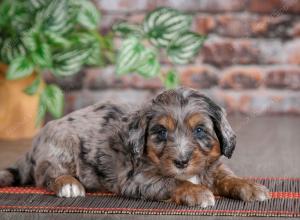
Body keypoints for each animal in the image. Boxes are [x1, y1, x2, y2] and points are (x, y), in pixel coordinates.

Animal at [0, 87, 270, 206]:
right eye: (161, 132)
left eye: (200, 130)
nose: (181, 162)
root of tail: (35, 144)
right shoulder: (136, 178)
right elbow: (172, 181)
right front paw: (197, 192)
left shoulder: (212, 166)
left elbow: (227, 176)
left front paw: (249, 186)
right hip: (61, 148)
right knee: (48, 175)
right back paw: (69, 185)